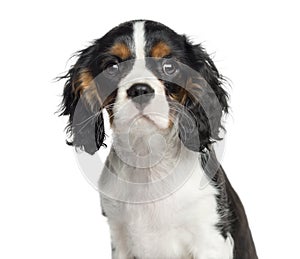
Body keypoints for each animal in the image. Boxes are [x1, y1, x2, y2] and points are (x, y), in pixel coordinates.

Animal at [59, 19, 258, 258]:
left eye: (169, 67)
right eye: (112, 67)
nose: (140, 90)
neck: (148, 157)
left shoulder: (210, 239)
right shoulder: (120, 240)